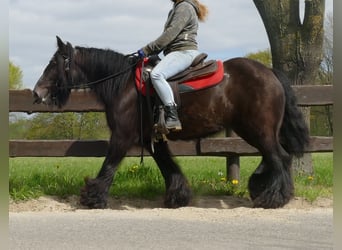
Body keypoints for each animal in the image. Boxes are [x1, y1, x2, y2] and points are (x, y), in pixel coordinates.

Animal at [33, 36, 308, 209]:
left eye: (54, 63)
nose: (37, 92)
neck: (124, 85)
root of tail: (270, 72)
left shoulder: (122, 136)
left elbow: (109, 166)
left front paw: (93, 198)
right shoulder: (150, 138)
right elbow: (168, 166)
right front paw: (178, 197)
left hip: (258, 130)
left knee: (280, 158)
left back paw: (274, 198)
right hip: (253, 130)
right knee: (273, 157)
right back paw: (262, 187)